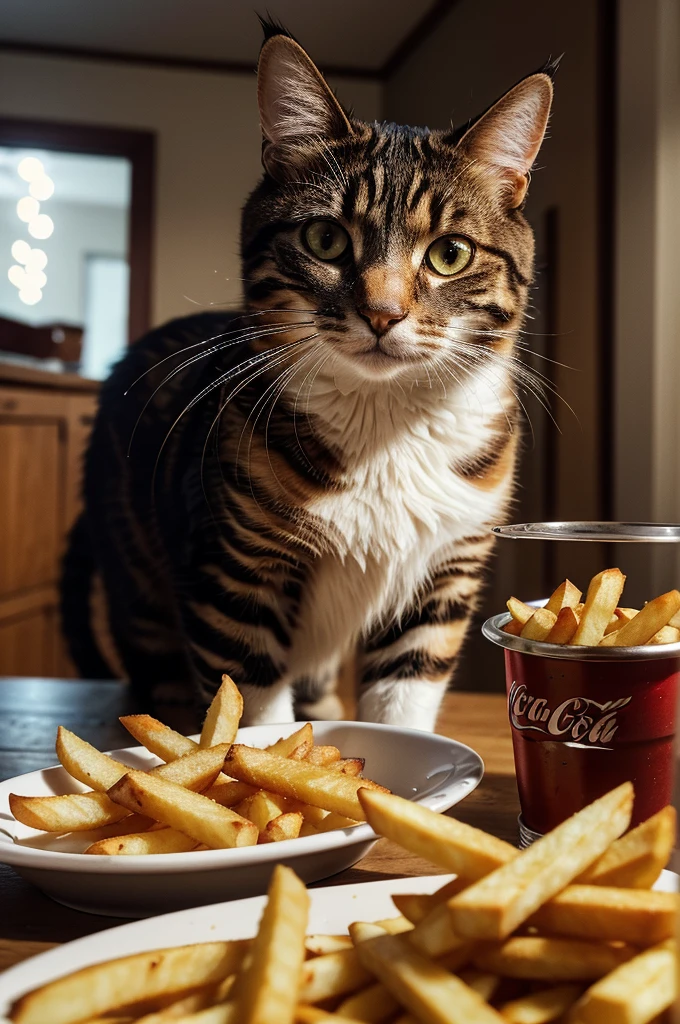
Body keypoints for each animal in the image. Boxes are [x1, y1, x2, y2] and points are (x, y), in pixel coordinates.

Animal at [61, 22, 557, 729]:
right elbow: (252, 708)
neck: (385, 429)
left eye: (450, 254)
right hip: (138, 577)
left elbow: (407, 691)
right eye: (326, 239)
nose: (383, 312)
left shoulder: (445, 571)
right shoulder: (236, 574)